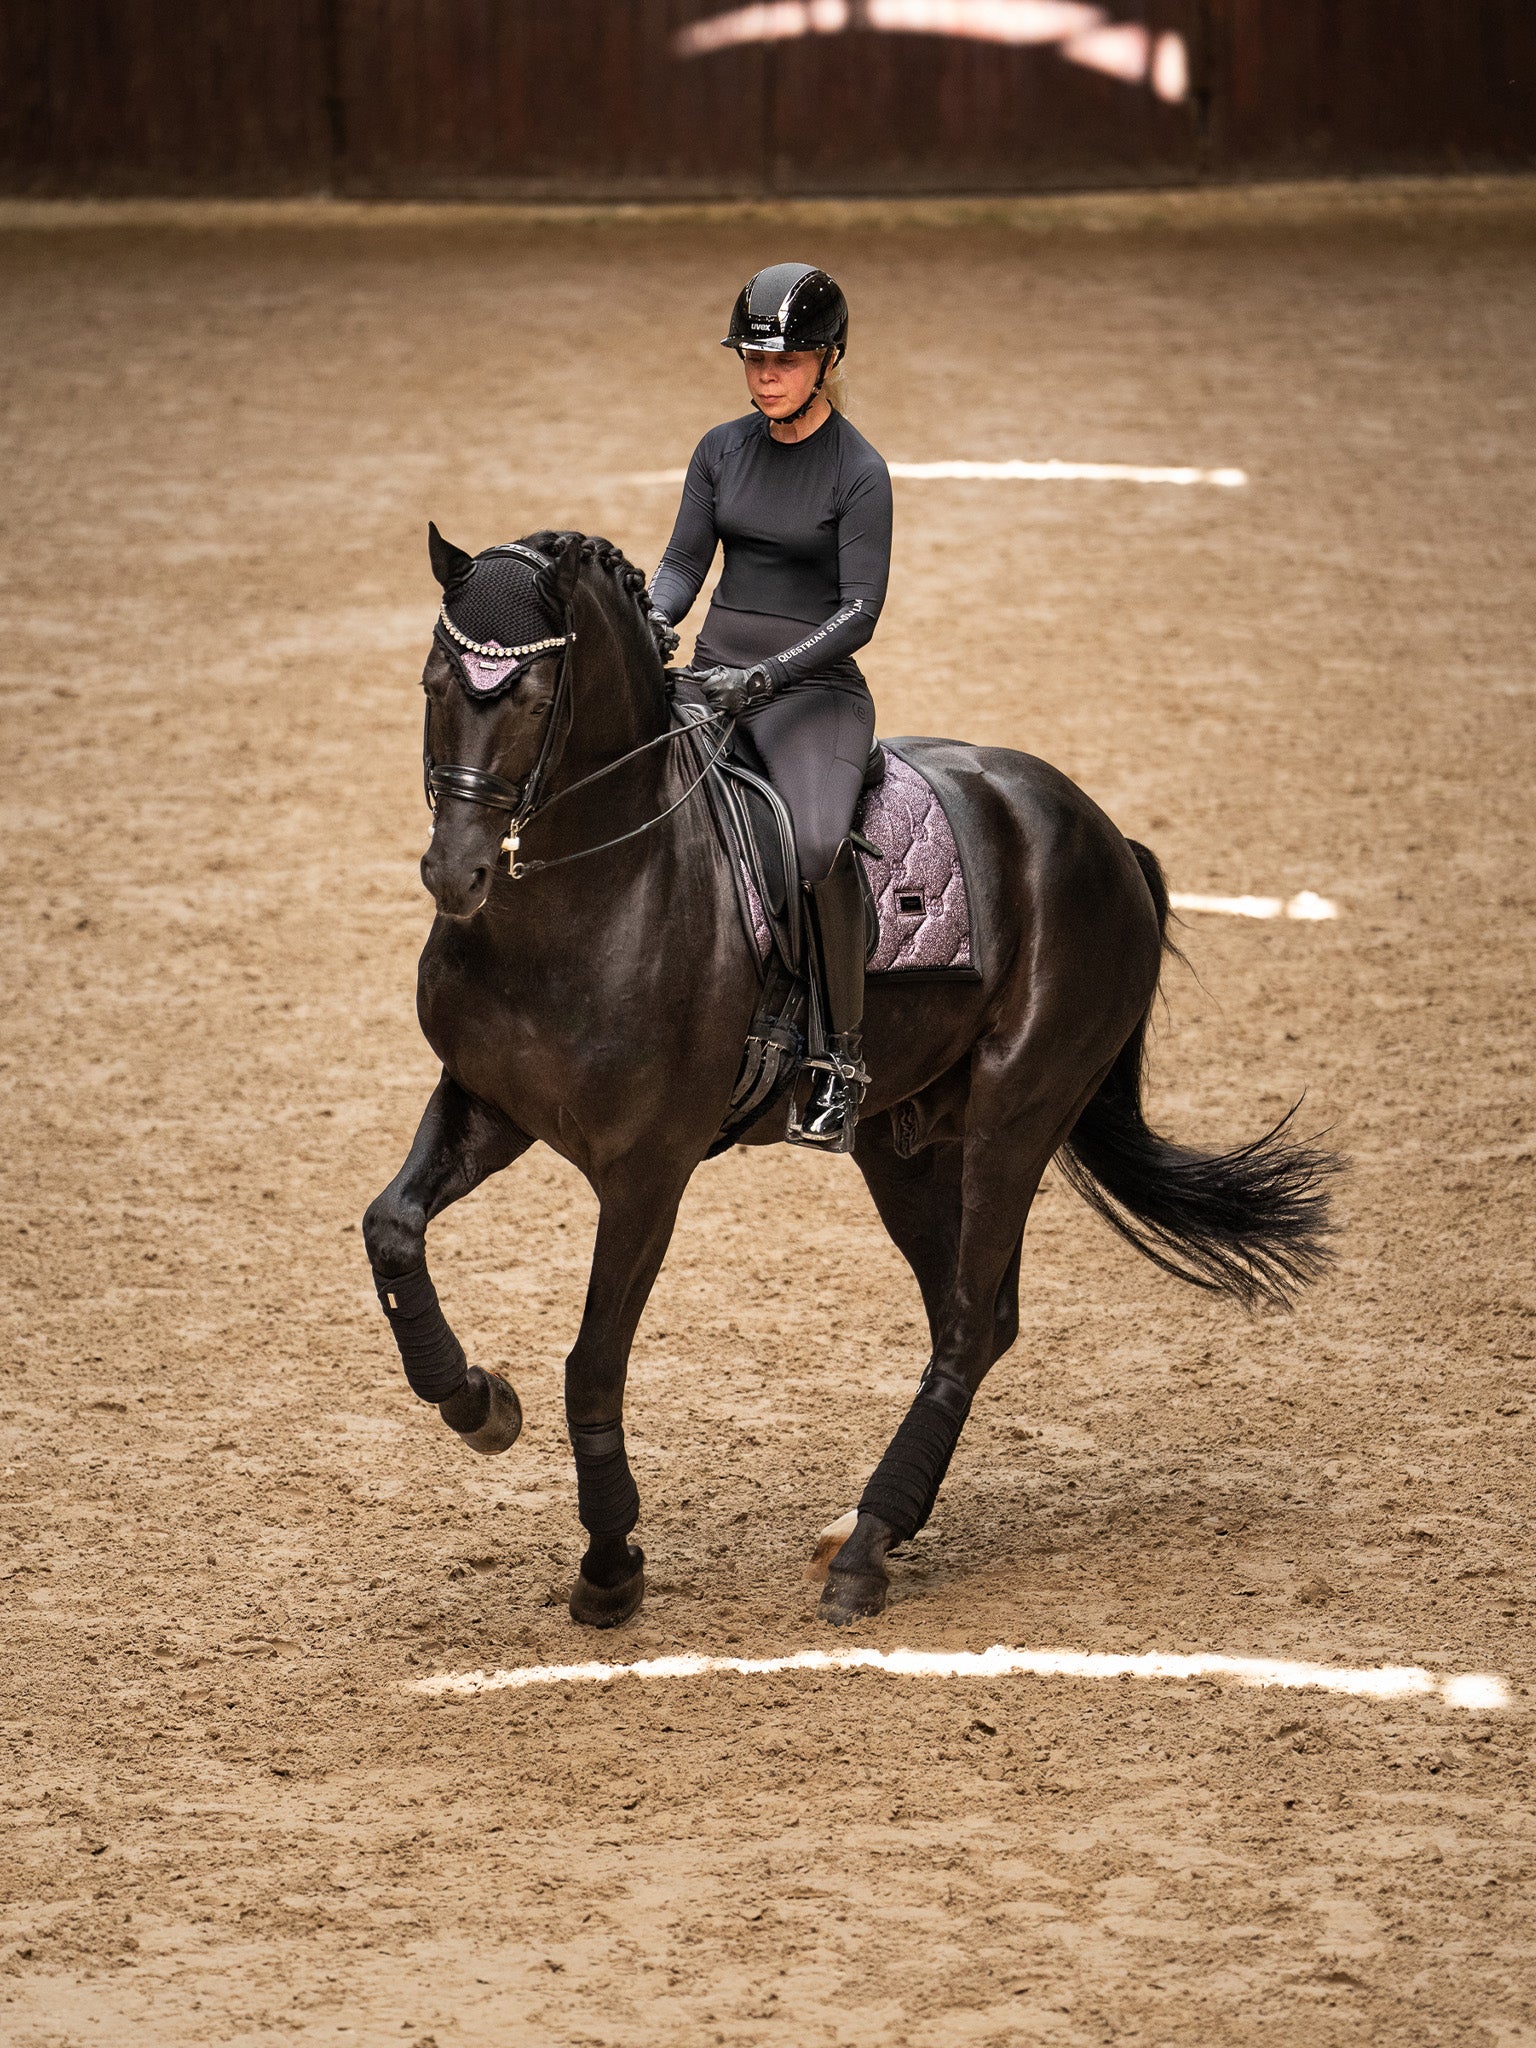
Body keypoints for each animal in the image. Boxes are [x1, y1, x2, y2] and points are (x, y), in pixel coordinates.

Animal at [364, 532, 1335, 1630]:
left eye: (531, 699)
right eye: (433, 683)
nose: (455, 874)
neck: (590, 894)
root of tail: (1102, 833)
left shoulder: (648, 1173)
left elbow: (594, 1363)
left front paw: (610, 1566)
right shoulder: (489, 1103)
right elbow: (391, 1228)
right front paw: (479, 1402)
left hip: (1016, 1115)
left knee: (967, 1323)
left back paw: (865, 1549)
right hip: (903, 1141)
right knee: (978, 1317)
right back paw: (867, 1527)